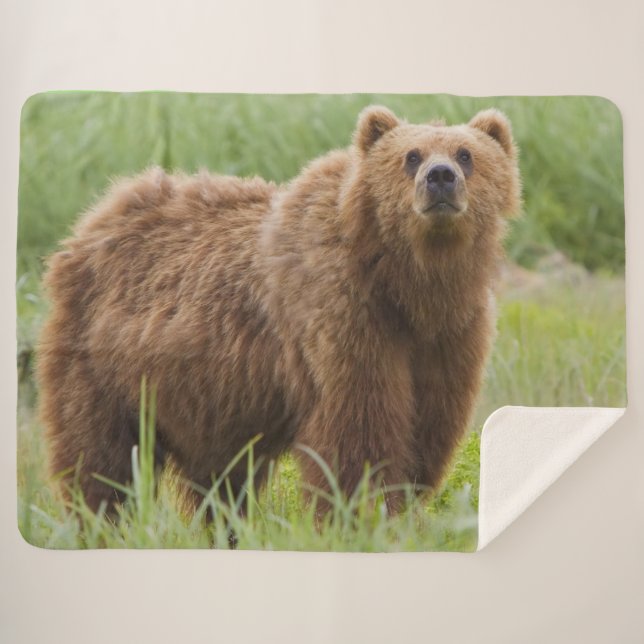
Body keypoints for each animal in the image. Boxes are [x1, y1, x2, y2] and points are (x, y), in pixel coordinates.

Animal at [37, 105, 521, 516]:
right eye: (411, 156)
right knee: (101, 457)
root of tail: (96, 216)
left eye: (466, 154)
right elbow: (359, 432)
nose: (440, 177)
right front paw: (362, 513)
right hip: (104, 363)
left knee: (220, 480)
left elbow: (428, 427)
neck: (409, 285)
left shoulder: (450, 335)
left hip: (206, 397)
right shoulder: (344, 317)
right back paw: (100, 520)